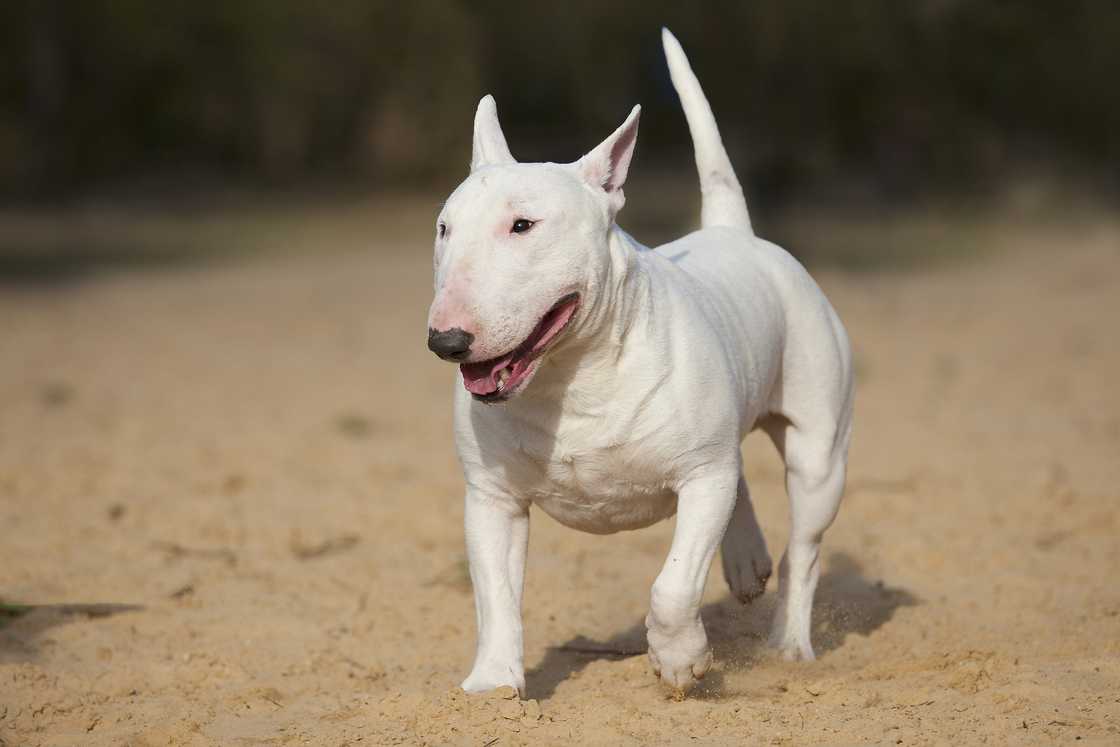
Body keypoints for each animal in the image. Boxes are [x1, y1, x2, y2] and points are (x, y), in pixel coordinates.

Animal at [425, 27, 846, 694]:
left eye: (523, 225)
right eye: (444, 228)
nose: (446, 341)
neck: (571, 378)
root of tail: (733, 232)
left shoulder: (701, 475)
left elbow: (673, 585)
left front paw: (680, 660)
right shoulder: (492, 497)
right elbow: (495, 595)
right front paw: (492, 686)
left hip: (817, 454)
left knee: (802, 548)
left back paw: (789, 644)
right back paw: (745, 561)